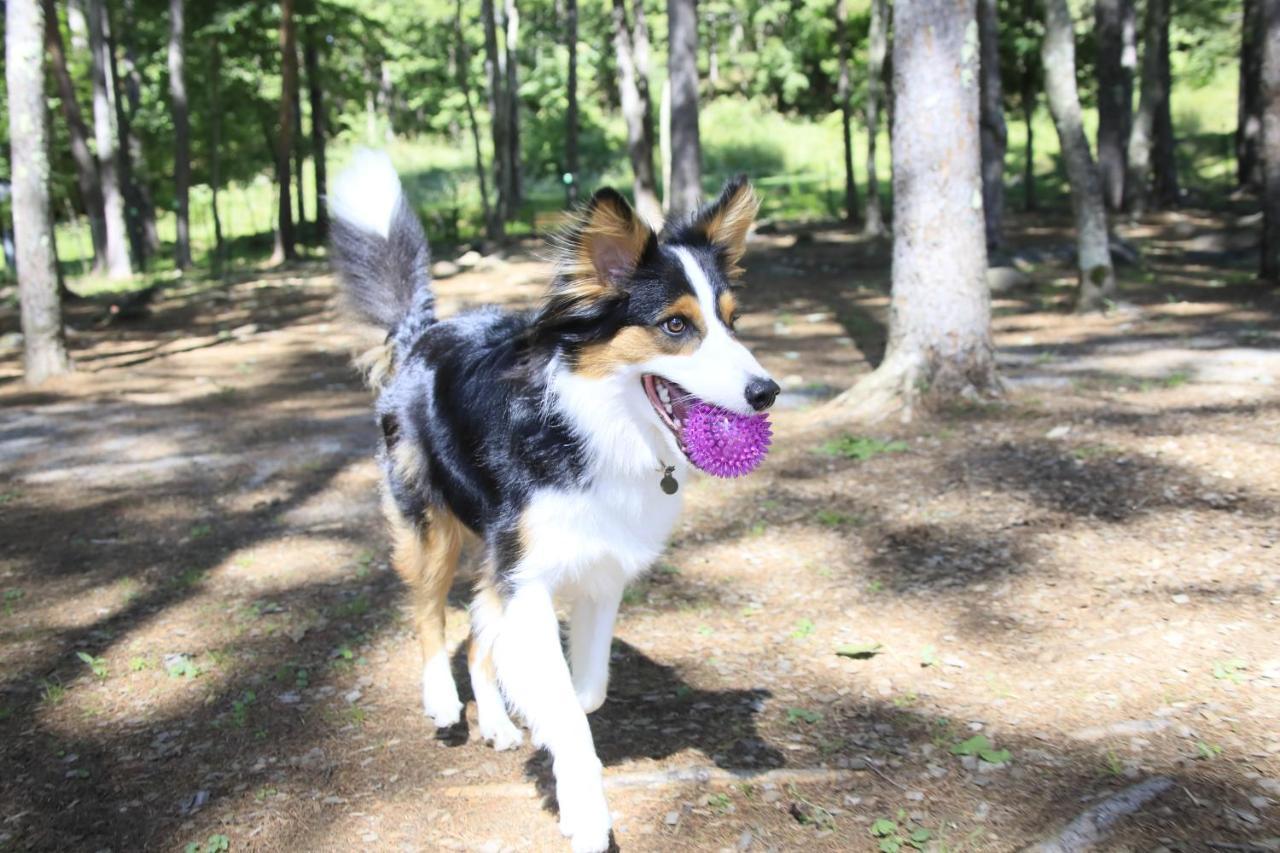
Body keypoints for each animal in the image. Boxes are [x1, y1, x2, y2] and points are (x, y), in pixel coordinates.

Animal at [325, 153, 773, 850]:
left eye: (733, 321)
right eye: (676, 325)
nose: (767, 391)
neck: (595, 425)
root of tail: (421, 332)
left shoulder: (598, 570)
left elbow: (584, 690)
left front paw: (532, 715)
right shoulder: (529, 575)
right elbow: (565, 706)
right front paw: (585, 812)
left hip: (495, 548)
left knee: (479, 624)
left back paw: (497, 719)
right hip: (432, 525)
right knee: (429, 612)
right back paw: (443, 700)